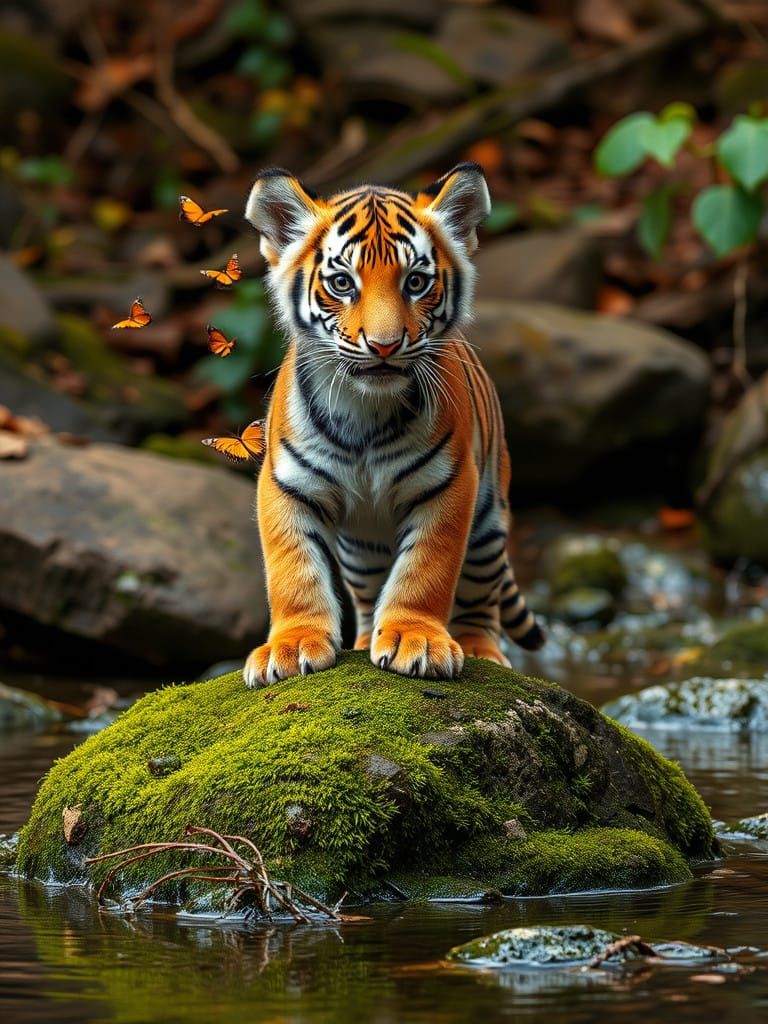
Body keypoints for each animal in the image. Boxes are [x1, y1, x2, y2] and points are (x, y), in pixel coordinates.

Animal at [242, 161, 545, 687]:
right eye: (343, 284)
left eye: (417, 282)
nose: (384, 345)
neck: (364, 411)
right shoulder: (285, 483)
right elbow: (292, 569)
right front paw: (292, 645)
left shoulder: (449, 484)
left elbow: (426, 569)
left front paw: (414, 639)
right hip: (362, 549)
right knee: (366, 596)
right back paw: (364, 640)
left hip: (488, 524)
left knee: (480, 596)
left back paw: (482, 650)